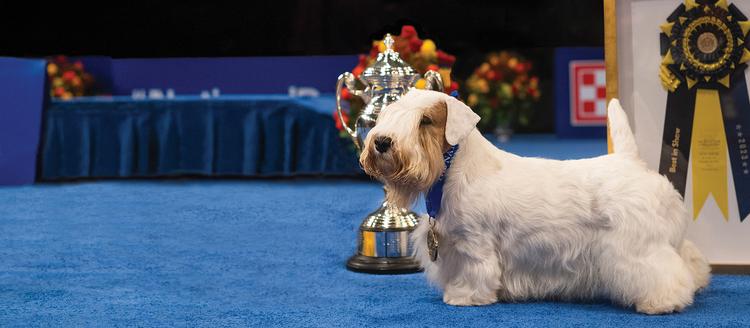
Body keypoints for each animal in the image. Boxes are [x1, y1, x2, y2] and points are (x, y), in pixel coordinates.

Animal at [362, 89, 712, 316]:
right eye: (390, 112)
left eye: (425, 121)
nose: (382, 142)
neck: (458, 170)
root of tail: (631, 161)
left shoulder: (473, 243)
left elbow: (476, 271)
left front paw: (465, 296)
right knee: (689, 257)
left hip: (638, 247)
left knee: (661, 270)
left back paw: (661, 302)